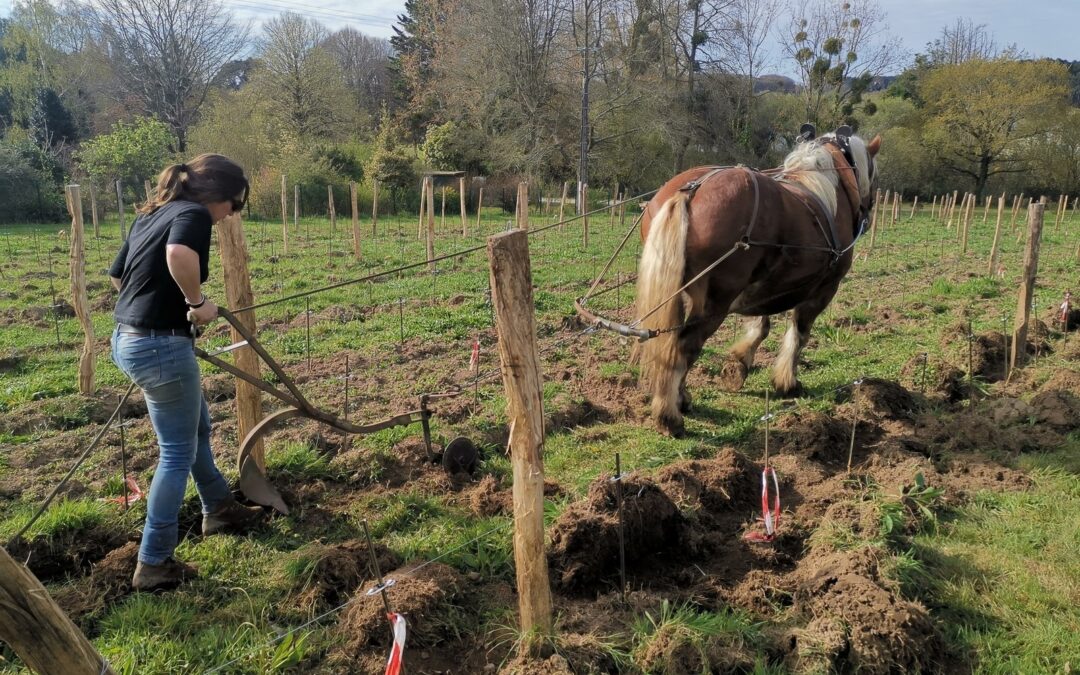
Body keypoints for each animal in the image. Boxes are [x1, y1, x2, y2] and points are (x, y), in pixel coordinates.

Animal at [630, 123, 876, 434]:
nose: (867, 212)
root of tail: (691, 190)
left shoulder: (764, 288)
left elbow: (762, 326)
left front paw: (738, 365)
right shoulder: (824, 289)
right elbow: (799, 332)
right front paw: (787, 381)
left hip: (680, 291)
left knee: (671, 344)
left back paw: (680, 399)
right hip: (715, 301)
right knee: (685, 345)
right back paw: (669, 415)